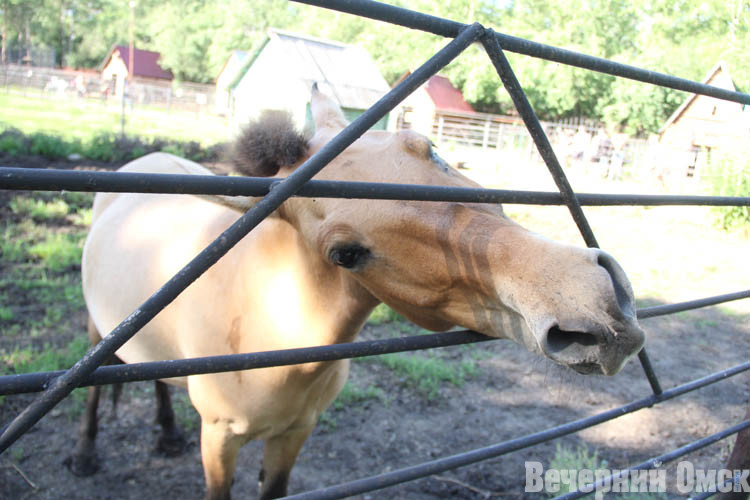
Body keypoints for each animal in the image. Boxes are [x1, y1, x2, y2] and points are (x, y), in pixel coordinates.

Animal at [73, 88, 648, 498]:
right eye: (345, 254)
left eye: (430, 148)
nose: (592, 301)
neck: (267, 334)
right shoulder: (219, 440)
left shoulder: (295, 434)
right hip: (99, 331)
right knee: (97, 388)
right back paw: (86, 454)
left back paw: (166, 434)